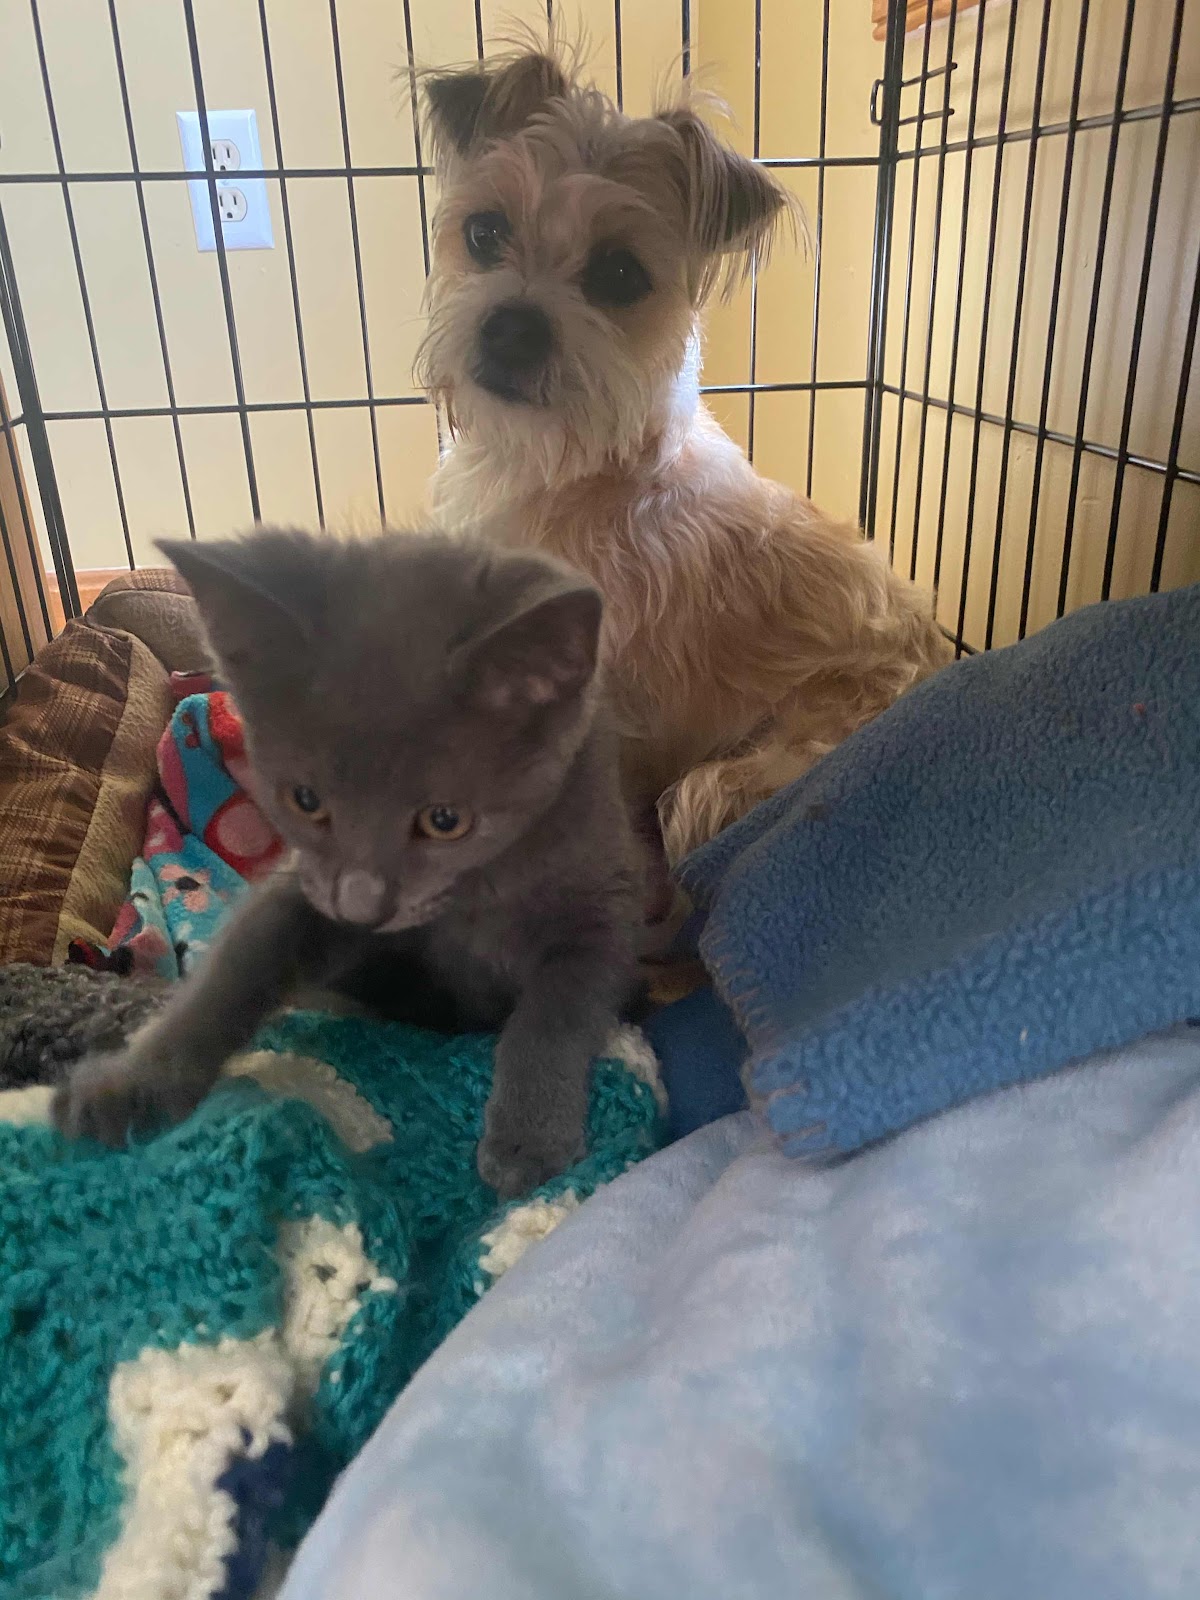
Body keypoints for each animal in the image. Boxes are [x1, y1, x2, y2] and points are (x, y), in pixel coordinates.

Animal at [53, 528, 642, 1199]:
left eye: (445, 820)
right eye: (305, 800)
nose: (362, 909)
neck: (471, 899)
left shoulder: (604, 908)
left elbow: (556, 1009)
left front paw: (528, 1141)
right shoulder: (303, 890)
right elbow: (234, 969)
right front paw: (128, 1085)